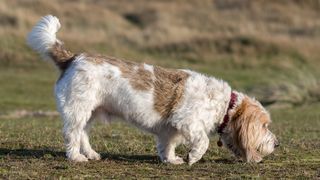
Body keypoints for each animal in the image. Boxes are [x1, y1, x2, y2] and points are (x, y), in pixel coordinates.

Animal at [26, 15, 278, 165]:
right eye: (265, 126)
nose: (276, 144)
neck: (225, 105)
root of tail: (72, 58)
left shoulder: (171, 129)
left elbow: (168, 145)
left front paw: (171, 160)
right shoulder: (188, 122)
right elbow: (202, 141)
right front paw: (193, 157)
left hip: (90, 113)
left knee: (83, 134)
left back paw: (91, 154)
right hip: (77, 110)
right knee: (72, 134)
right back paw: (76, 157)